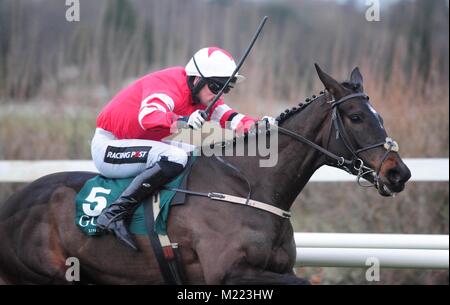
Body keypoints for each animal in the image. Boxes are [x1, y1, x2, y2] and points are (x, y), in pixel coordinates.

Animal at [0, 63, 412, 282]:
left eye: (378, 115)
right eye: (356, 117)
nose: (399, 173)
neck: (249, 188)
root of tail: (12, 204)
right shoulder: (228, 273)